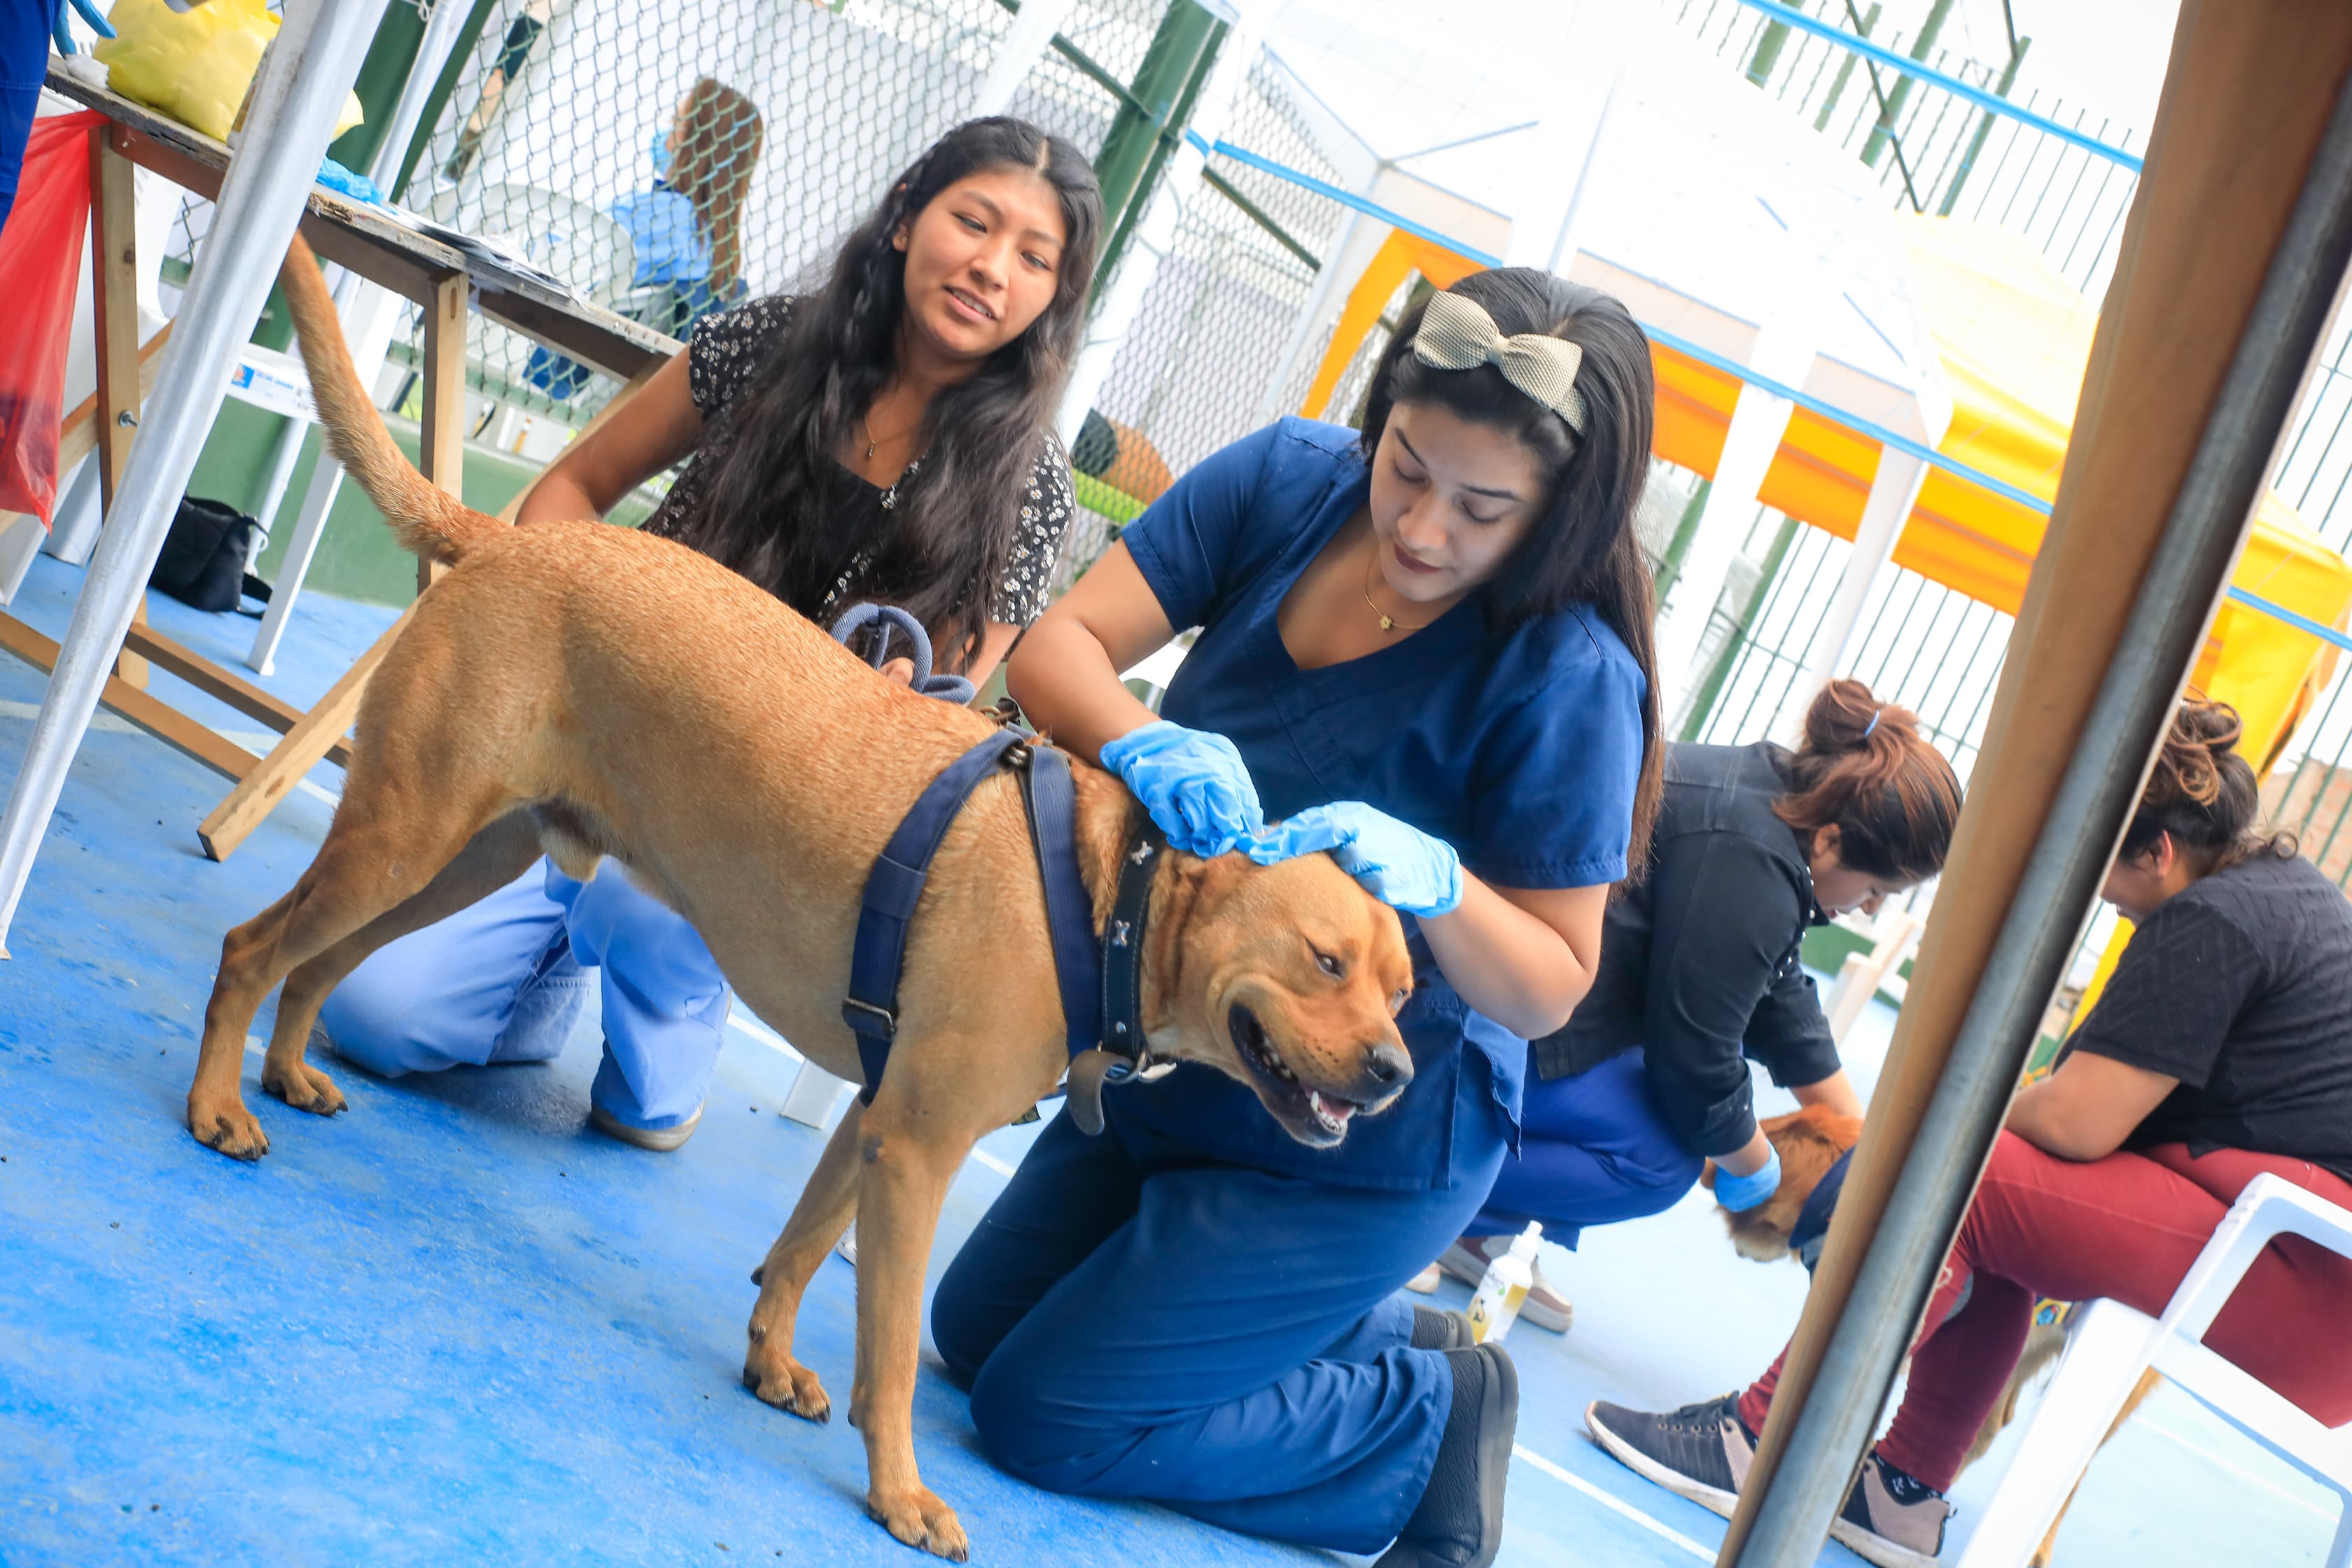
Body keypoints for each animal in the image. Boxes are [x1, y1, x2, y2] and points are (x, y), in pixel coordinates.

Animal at [188, 236, 1410, 1568]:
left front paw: (771, 1363)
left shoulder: (875, 1122)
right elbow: (889, 1349)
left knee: (317, 963)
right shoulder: (920, 1151)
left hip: (460, 854)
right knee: (254, 946)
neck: (1109, 893)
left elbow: (804, 1251)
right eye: (1327, 962)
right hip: (405, 837)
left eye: (1406, 988)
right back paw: (215, 1107)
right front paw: (901, 1493)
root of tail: (511, 540)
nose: (1397, 1075)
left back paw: (287, 1074)